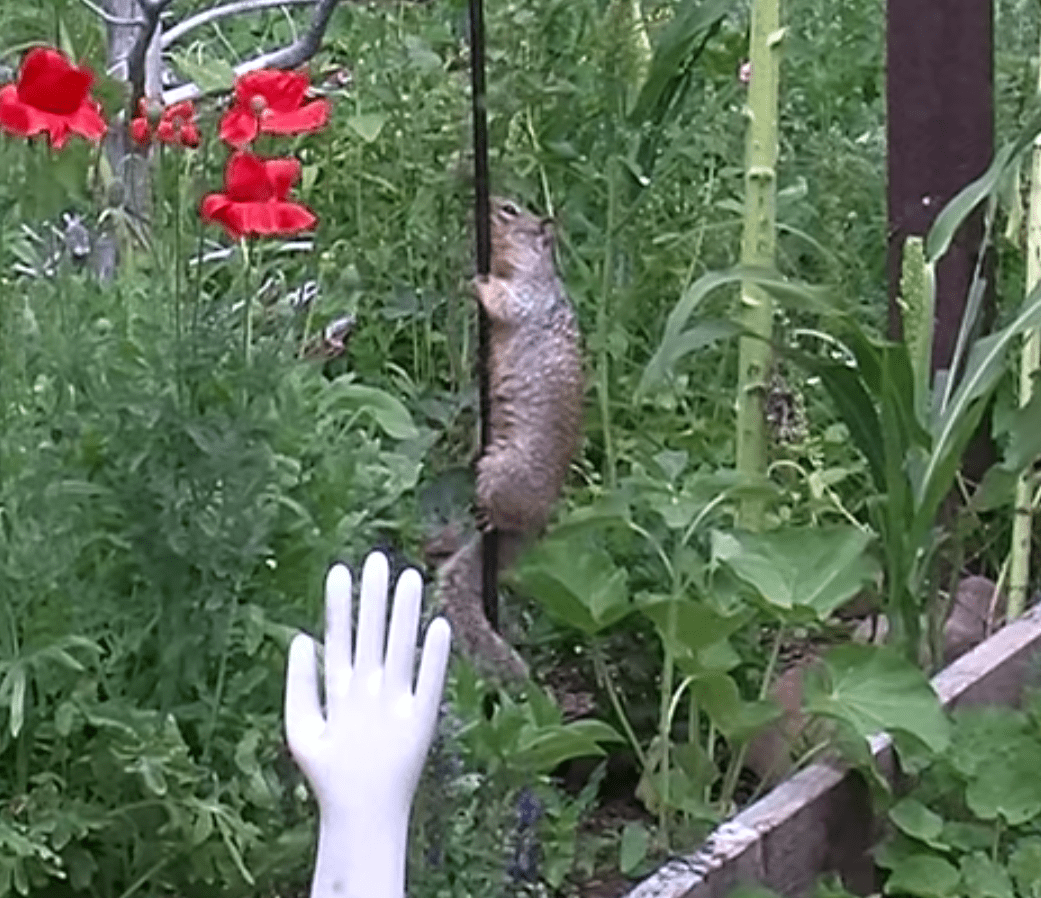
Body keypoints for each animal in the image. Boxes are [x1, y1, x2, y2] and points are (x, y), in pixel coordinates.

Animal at [435, 197, 584, 682]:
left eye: (511, 211)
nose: (473, 207)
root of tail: (531, 530)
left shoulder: (526, 296)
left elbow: (504, 301)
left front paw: (477, 283)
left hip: (502, 474)